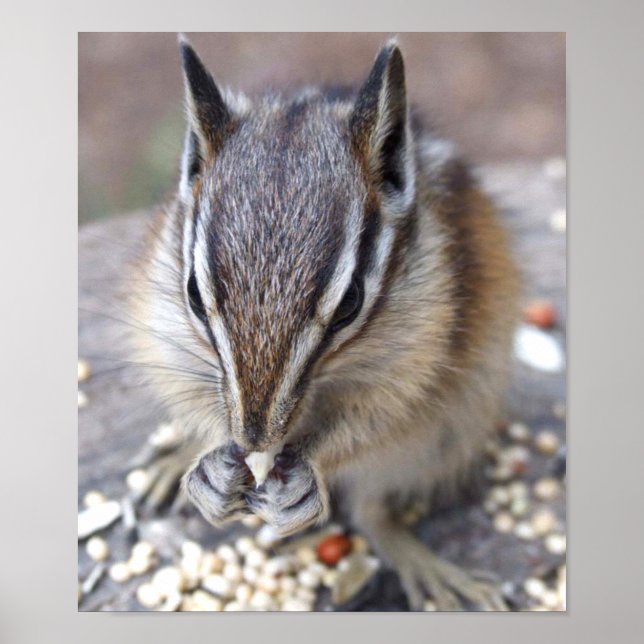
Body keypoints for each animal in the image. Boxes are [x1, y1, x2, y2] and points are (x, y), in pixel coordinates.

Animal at [128, 36, 520, 611]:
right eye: (195, 296)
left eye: (351, 301)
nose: (254, 440)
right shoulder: (170, 338)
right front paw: (207, 472)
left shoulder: (413, 364)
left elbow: (372, 423)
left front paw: (307, 474)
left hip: (437, 440)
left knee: (375, 513)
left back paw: (428, 569)